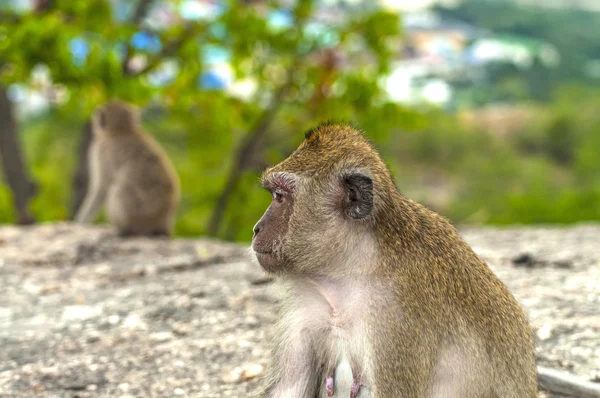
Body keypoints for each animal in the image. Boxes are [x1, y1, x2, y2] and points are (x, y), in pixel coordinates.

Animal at [74, 100, 179, 236]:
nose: (94, 119)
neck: (122, 130)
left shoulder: (100, 150)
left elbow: (102, 188)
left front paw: (80, 222)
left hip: (136, 215)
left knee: (116, 188)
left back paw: (121, 229)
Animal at [251, 123, 536, 396]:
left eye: (279, 197)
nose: (256, 228)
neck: (352, 269)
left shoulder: (398, 318)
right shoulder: (306, 304)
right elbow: (290, 388)